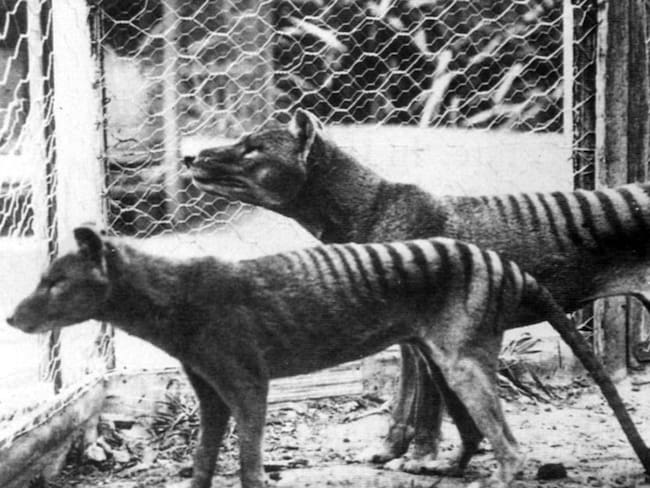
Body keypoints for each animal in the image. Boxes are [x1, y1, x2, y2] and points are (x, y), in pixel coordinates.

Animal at [7, 226, 650, 488]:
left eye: (54, 282)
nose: (12, 318)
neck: (173, 294)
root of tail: (504, 263)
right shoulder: (209, 391)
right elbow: (202, 461)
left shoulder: (248, 382)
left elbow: (247, 463)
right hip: (441, 357)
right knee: (473, 435)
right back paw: (443, 468)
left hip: (462, 360)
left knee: (511, 449)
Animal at [185, 108, 650, 473]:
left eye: (254, 148)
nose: (190, 156)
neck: (372, 207)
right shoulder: (409, 332)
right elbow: (407, 399)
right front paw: (390, 450)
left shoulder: (423, 329)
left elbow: (423, 401)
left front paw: (421, 456)